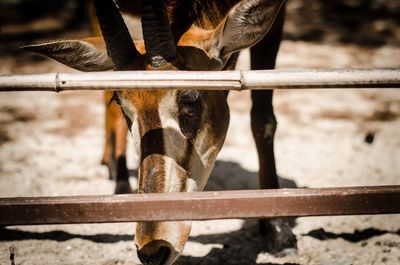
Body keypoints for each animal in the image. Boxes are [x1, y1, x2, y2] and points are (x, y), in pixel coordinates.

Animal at [24, 0, 294, 262]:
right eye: (122, 105)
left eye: (190, 99)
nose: (153, 250)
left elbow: (262, 119)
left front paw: (278, 231)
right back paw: (119, 179)